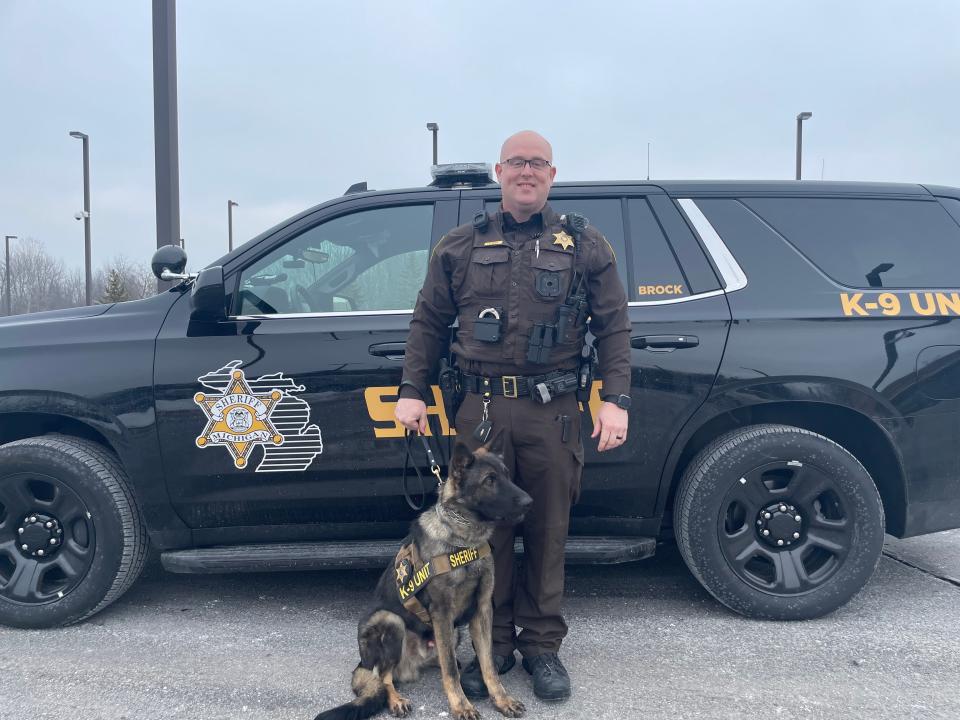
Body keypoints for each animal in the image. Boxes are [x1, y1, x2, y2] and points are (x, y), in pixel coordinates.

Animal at [316, 438, 532, 720]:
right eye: (490, 480)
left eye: (507, 475)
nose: (529, 501)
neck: (462, 540)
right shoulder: (442, 612)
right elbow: (450, 671)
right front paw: (461, 706)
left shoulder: (482, 609)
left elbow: (488, 665)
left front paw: (501, 699)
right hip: (390, 621)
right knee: (383, 677)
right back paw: (396, 699)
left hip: (453, 631)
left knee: (436, 658)